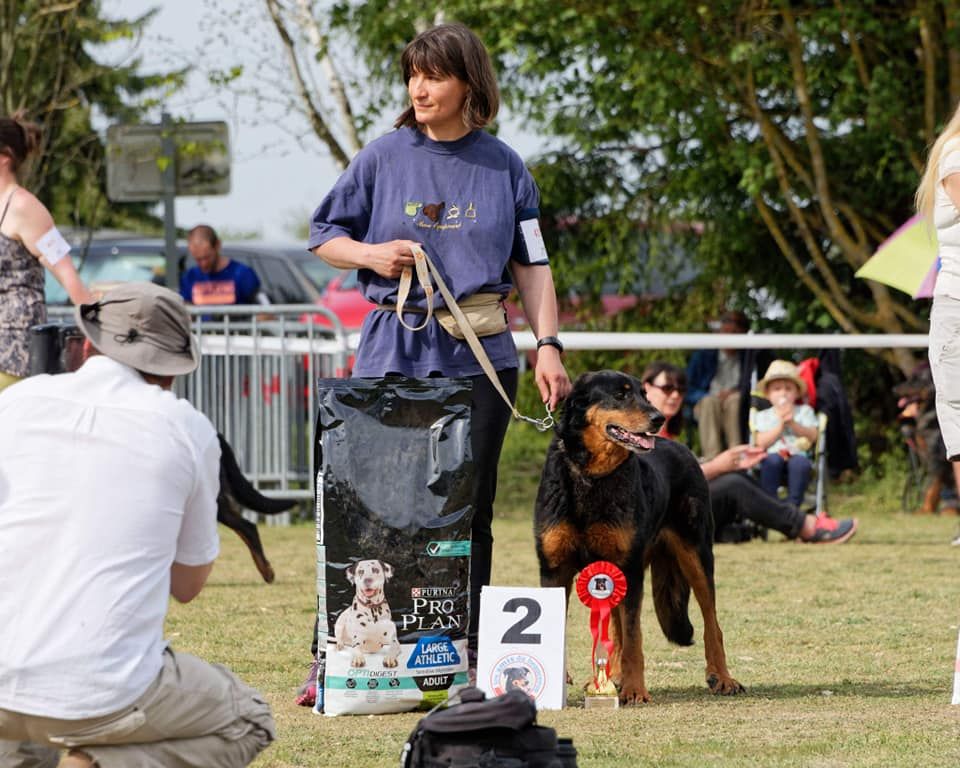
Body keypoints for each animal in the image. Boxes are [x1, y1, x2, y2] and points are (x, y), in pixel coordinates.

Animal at [536, 368, 748, 704]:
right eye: (621, 395)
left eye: (645, 395)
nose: (659, 418)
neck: (592, 476)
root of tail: (682, 448)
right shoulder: (555, 568)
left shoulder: (628, 568)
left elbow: (634, 635)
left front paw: (635, 690)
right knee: (617, 629)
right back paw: (613, 677)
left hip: (696, 555)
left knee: (711, 622)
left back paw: (722, 677)